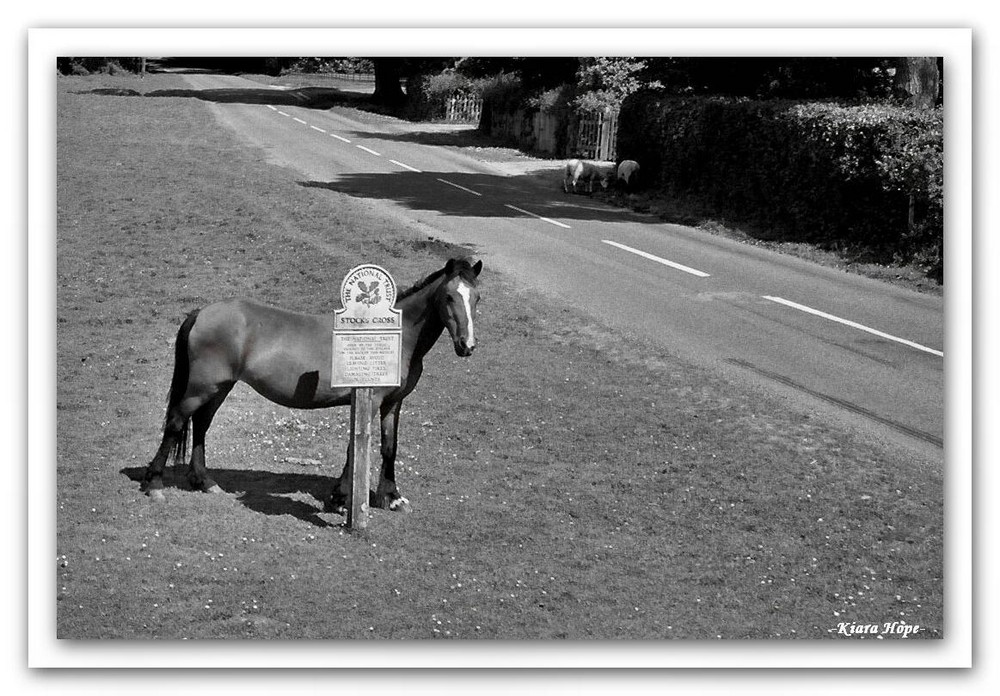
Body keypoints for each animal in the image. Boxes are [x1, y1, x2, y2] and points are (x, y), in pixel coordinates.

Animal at [142, 258, 484, 512]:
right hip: (202, 387)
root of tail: (201, 312)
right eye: (449, 296)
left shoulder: (393, 402)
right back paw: (154, 484)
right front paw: (341, 498)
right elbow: (354, 448)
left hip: (219, 388)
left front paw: (392, 497)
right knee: (176, 423)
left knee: (200, 425)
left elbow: (389, 446)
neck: (392, 338)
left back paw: (206, 482)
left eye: (476, 298)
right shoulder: (371, 400)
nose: (467, 346)